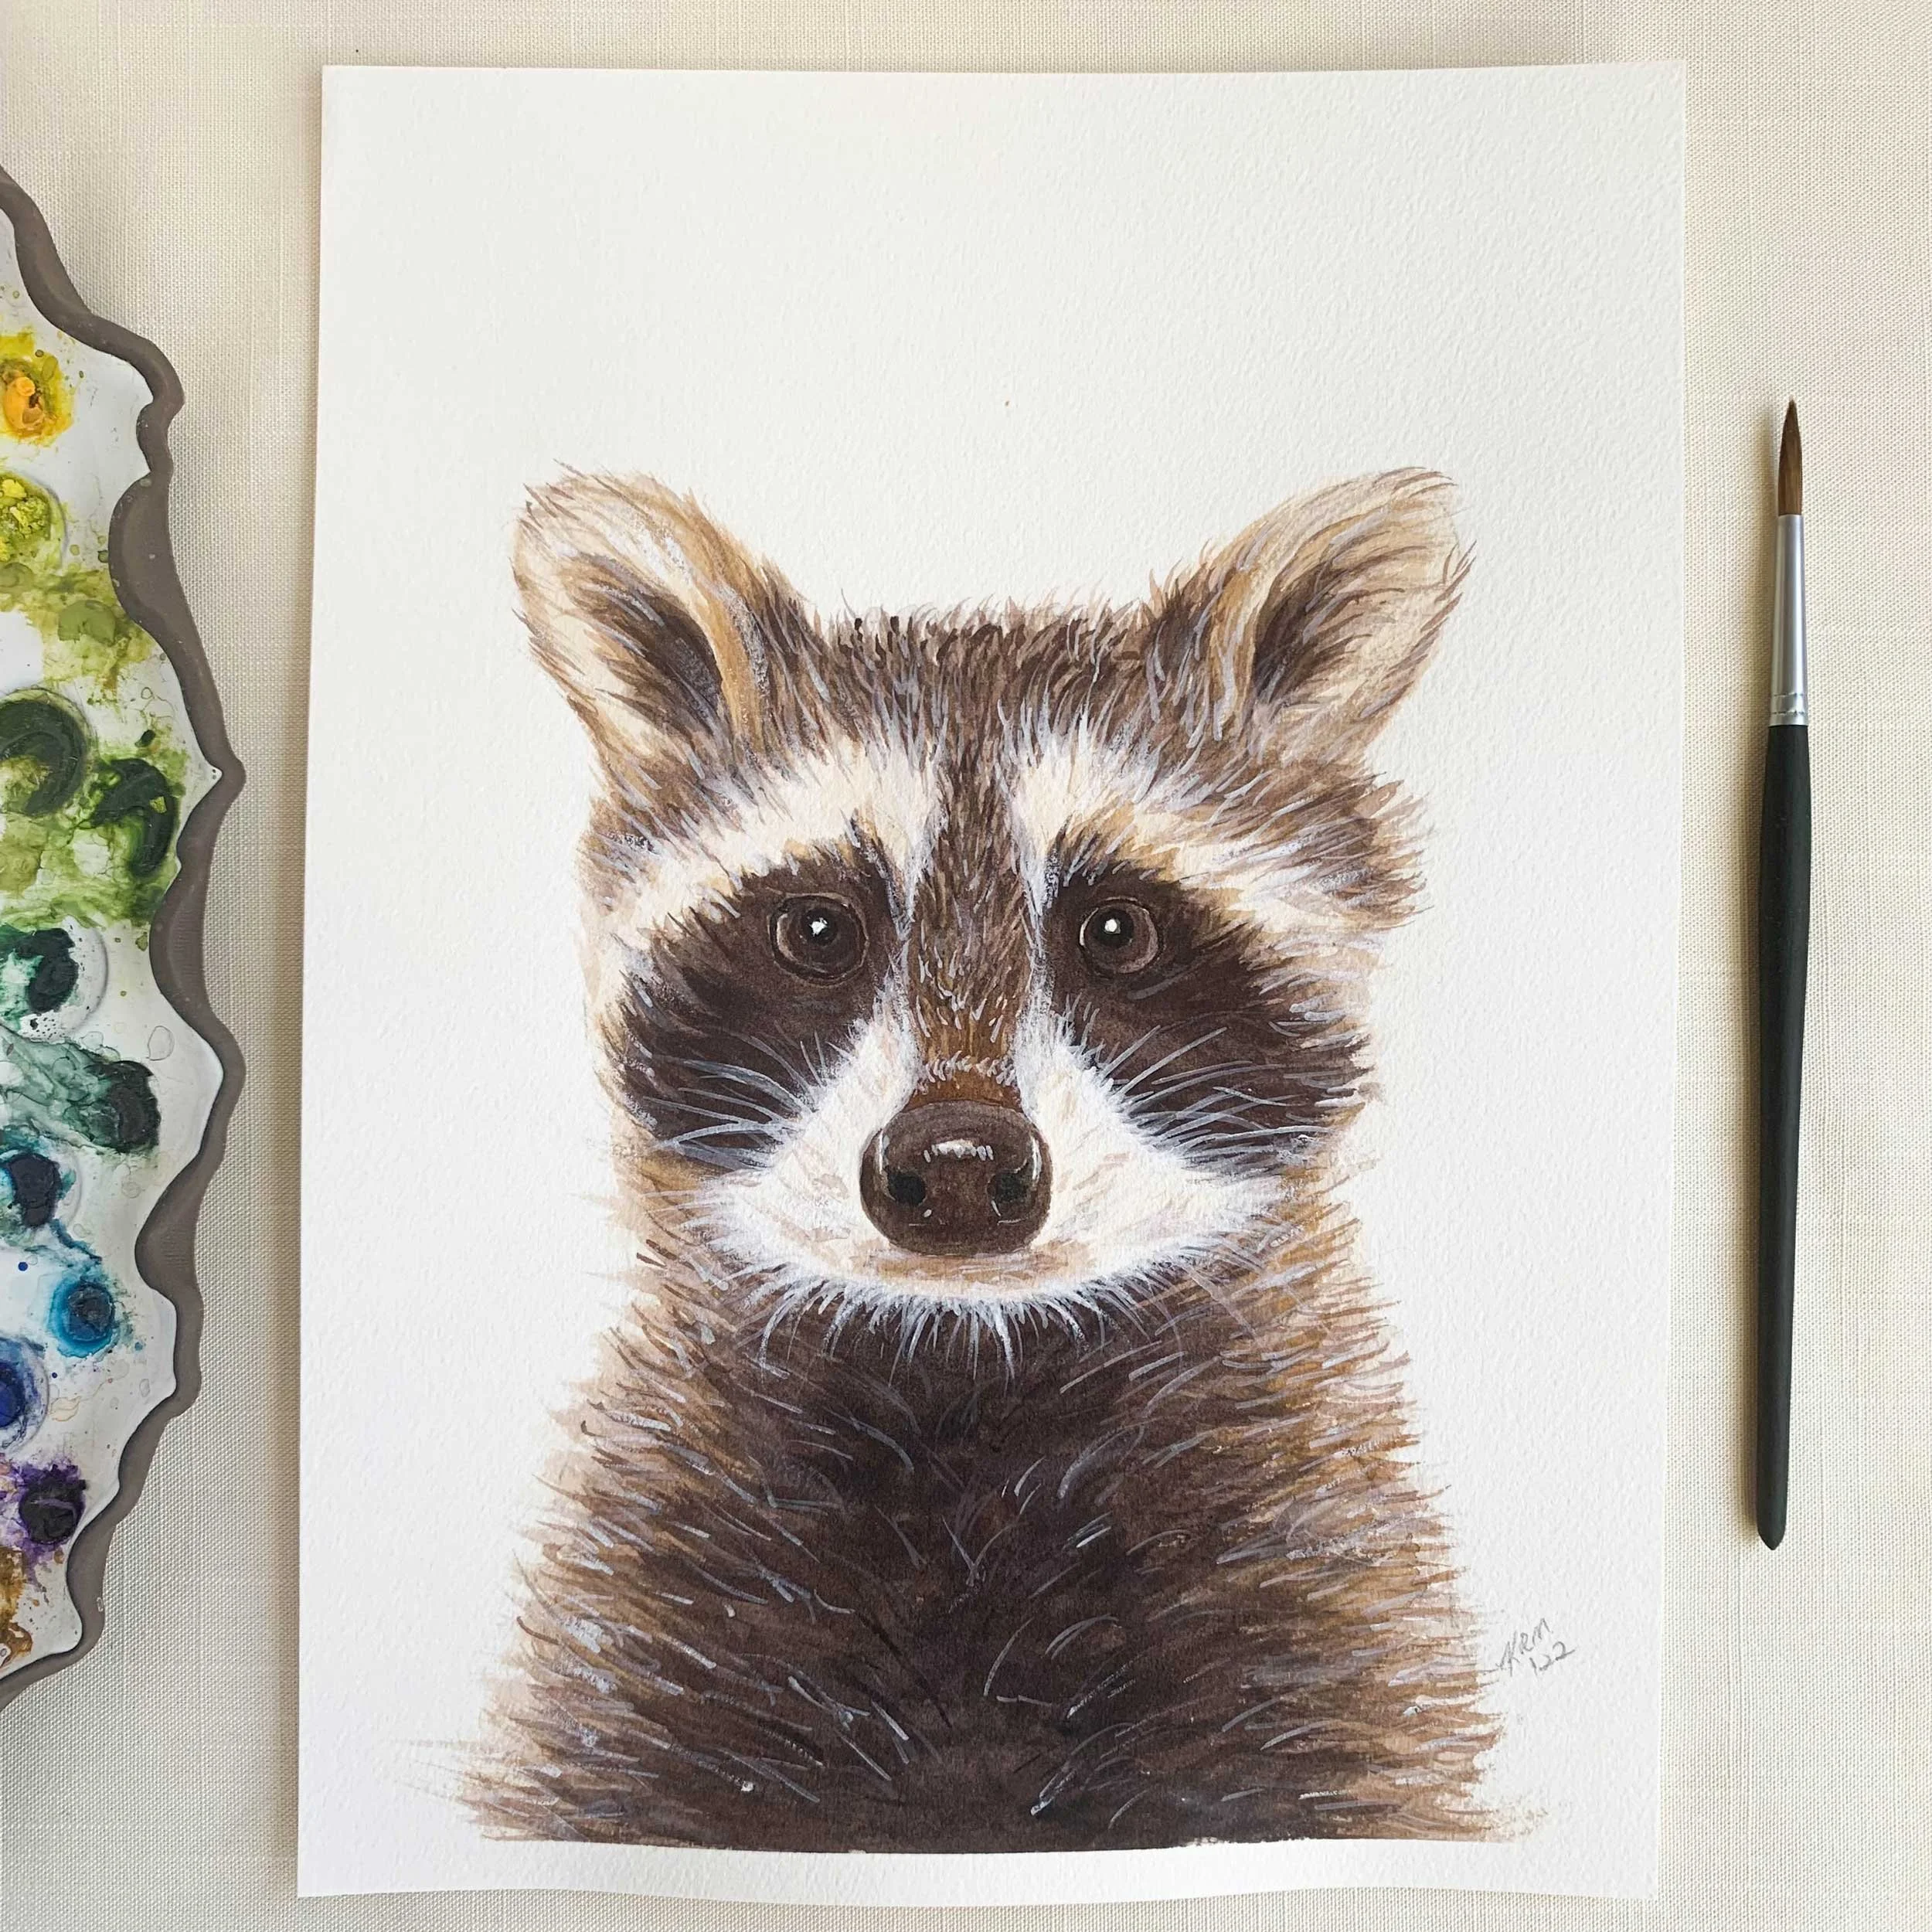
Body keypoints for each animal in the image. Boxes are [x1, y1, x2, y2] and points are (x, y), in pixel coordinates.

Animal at [465, 469, 1496, 1852]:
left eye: (1117, 930)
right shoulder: (644, 1644)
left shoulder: (1326, 1632)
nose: (956, 1163)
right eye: (818, 930)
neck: (968, 1376)